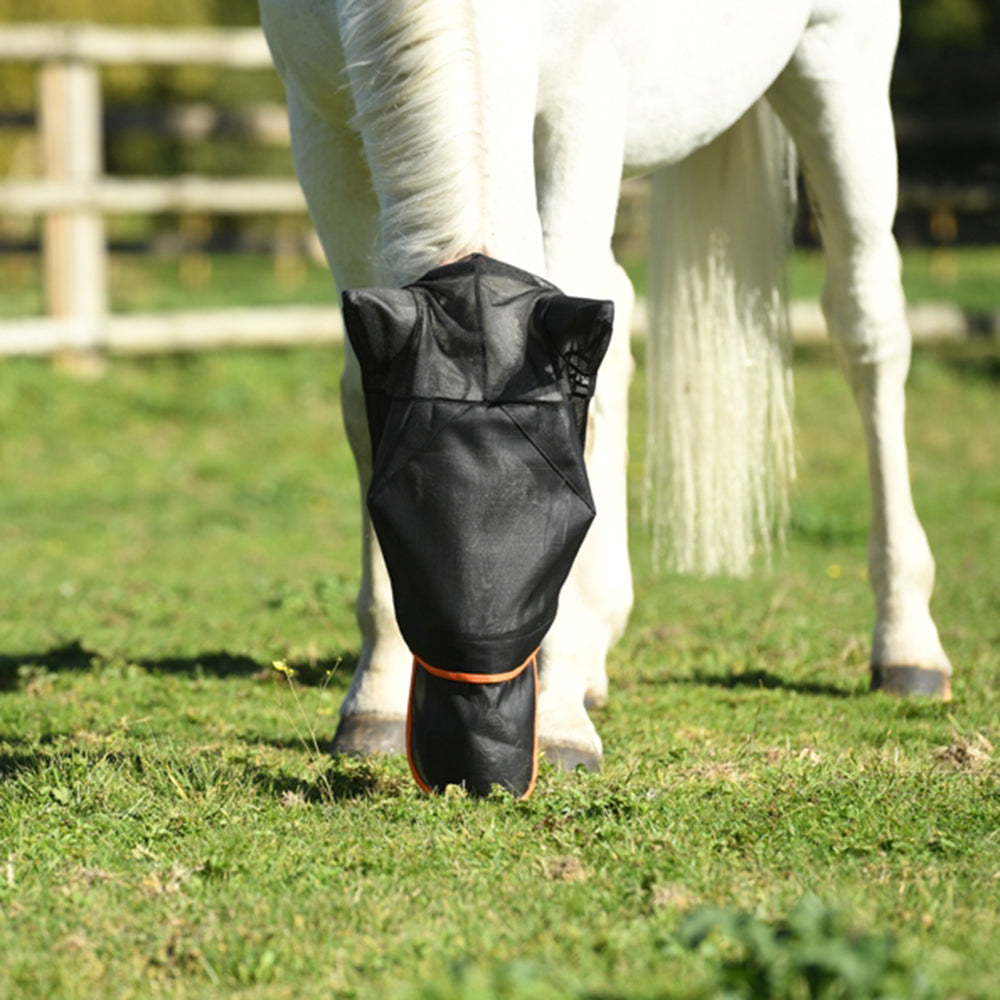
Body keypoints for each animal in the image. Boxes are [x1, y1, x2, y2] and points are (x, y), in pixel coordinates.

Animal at [260, 0, 952, 772]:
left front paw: (560, 717)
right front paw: (376, 696)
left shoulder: (581, 109)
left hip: (840, 68)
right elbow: (361, 396)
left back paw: (908, 647)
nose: (478, 758)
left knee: (868, 330)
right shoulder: (321, 124)